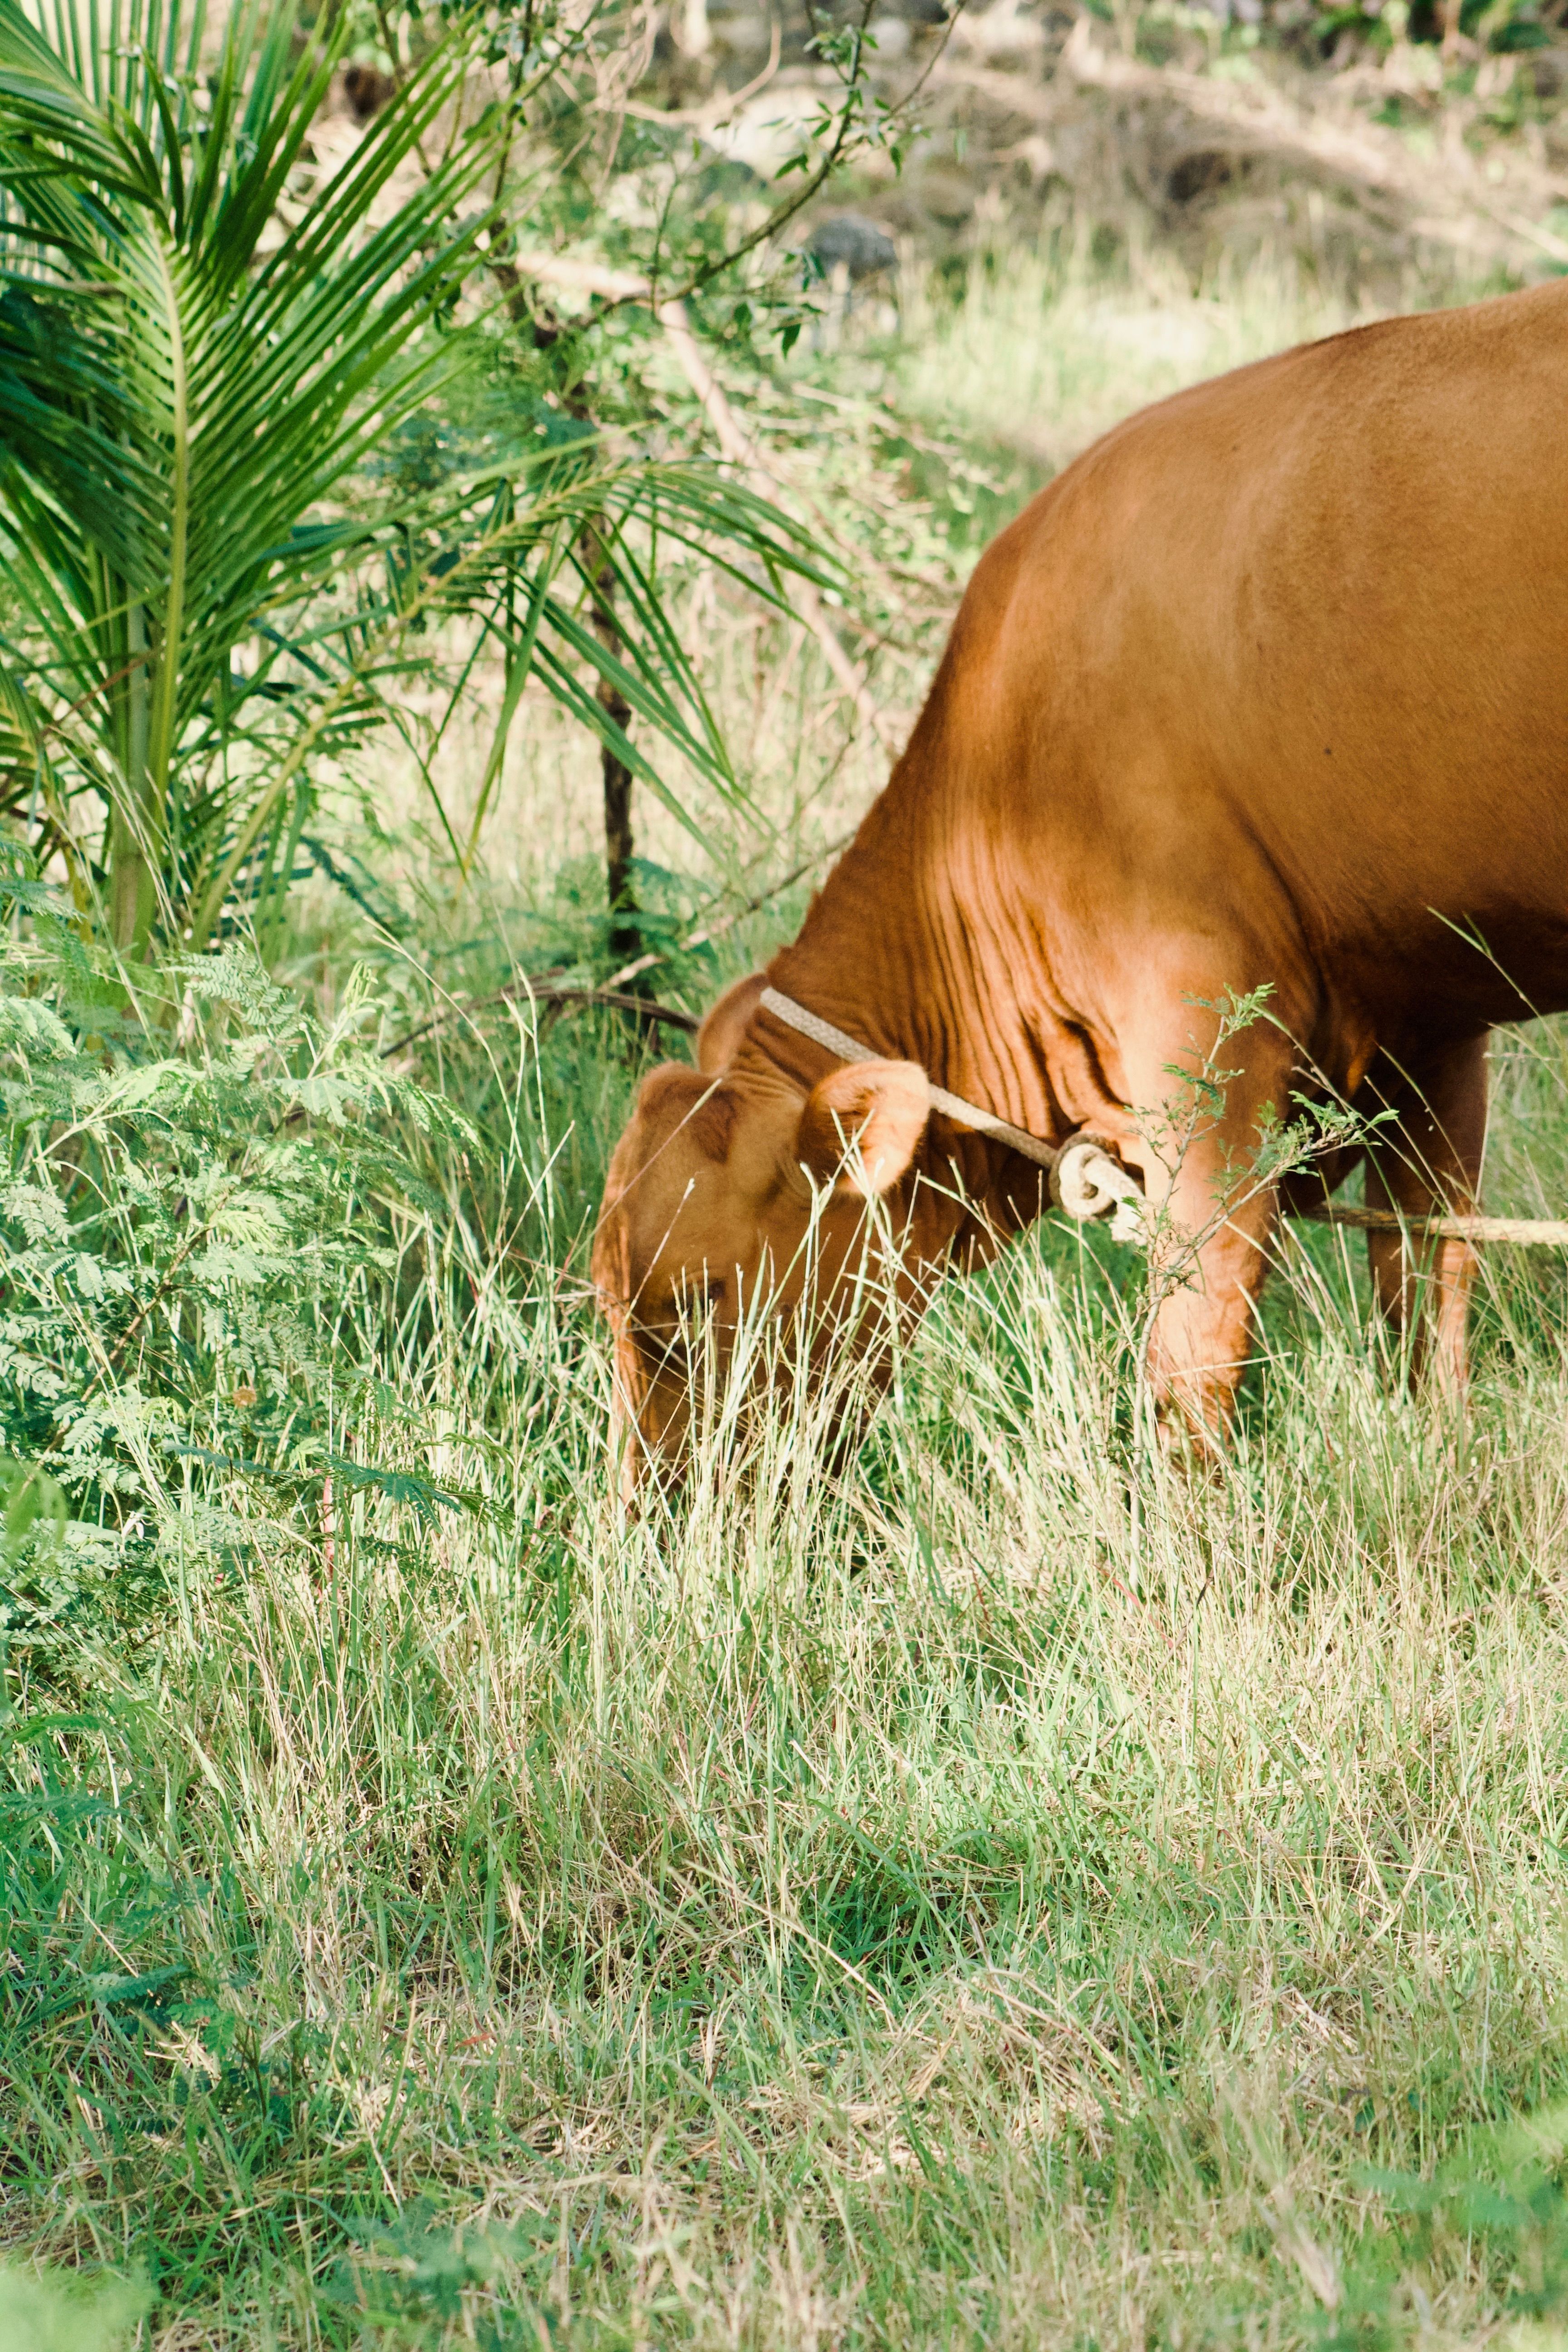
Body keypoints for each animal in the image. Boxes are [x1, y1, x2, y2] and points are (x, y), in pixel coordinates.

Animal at [593, 276, 1568, 1491]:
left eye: (689, 1304)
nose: (652, 1510)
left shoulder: (1204, 1037)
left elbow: (1195, 1332)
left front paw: (1184, 1522)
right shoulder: (1429, 1026)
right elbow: (1427, 1277)